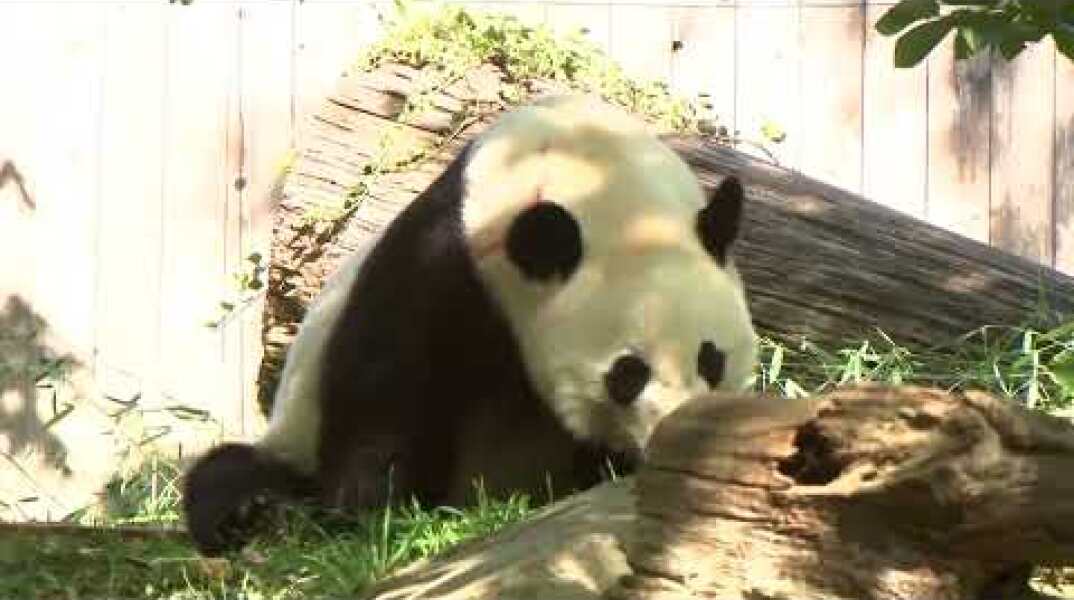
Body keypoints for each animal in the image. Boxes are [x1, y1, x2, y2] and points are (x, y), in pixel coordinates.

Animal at [183, 95, 757, 556]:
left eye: (711, 358)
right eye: (627, 373)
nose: (671, 433)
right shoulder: (444, 262)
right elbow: (385, 392)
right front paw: (369, 518)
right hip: (291, 434)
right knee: (225, 476)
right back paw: (256, 512)